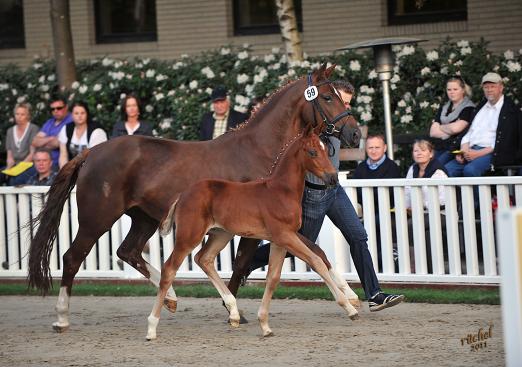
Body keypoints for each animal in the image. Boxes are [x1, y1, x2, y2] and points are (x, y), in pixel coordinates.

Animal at [146, 130, 358, 342]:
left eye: (326, 150)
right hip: (189, 236)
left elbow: (273, 278)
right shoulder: (284, 236)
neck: (281, 191)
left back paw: (233, 312)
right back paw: (151, 328)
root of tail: (182, 194)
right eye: (313, 152)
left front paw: (265, 325)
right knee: (169, 269)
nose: (333, 178)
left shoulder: (281, 240)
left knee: (203, 259)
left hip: (221, 234)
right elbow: (316, 261)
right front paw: (350, 309)